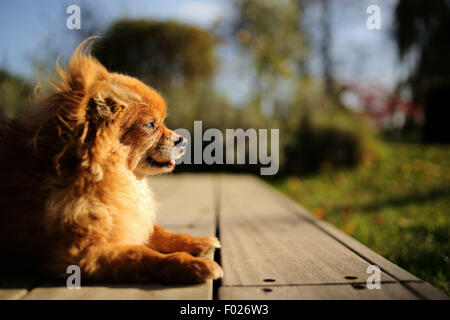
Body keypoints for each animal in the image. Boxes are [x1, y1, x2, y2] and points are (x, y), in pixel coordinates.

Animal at [0, 39, 223, 282]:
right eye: (150, 125)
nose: (182, 140)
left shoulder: (124, 220)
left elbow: (156, 230)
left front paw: (196, 241)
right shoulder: (85, 254)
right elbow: (141, 253)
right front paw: (193, 264)